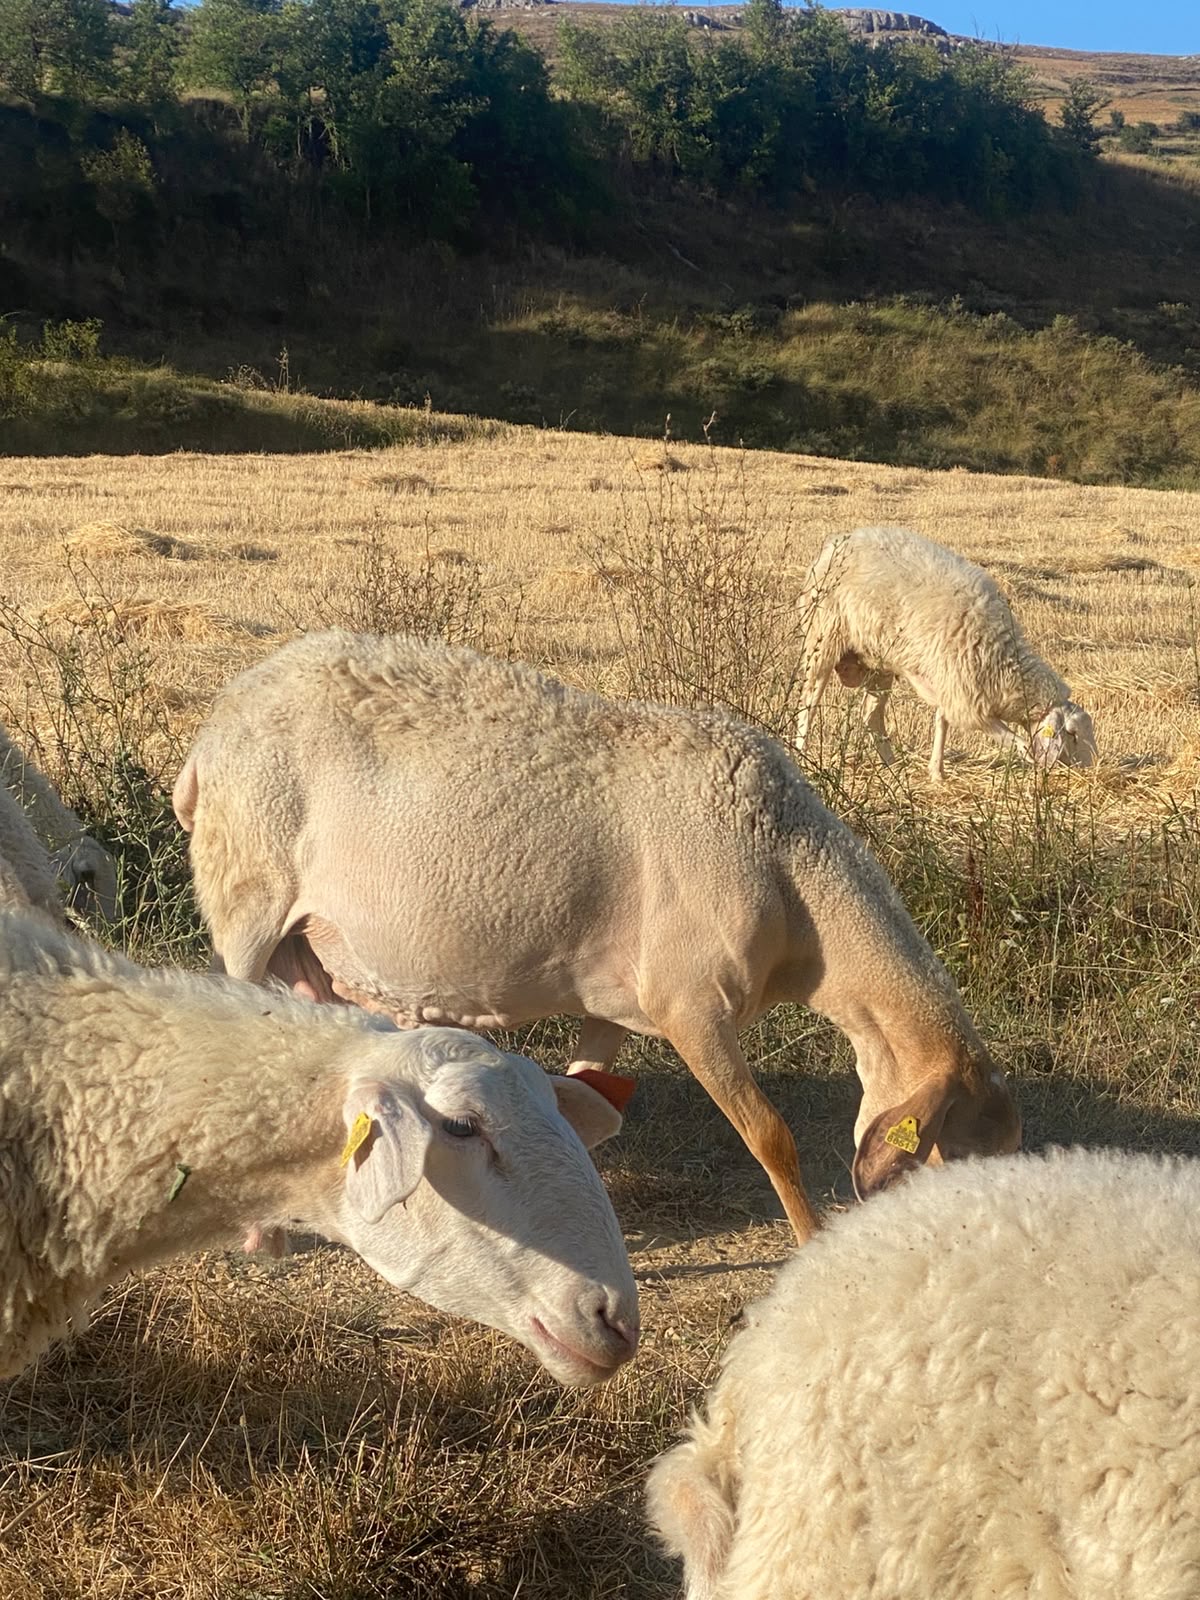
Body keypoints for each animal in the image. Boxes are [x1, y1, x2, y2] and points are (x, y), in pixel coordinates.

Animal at [172, 630, 1021, 1247]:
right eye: (958, 1157)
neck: (789, 869)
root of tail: (214, 729)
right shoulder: (691, 1006)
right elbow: (771, 1135)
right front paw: (812, 1238)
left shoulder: (613, 1004)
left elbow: (585, 1106)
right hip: (247, 893)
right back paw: (259, 1236)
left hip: (309, 944)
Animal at [794, 527, 1098, 781]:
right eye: (1072, 735)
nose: (1091, 771)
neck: (1006, 663)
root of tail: (837, 542)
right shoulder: (969, 702)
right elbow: (1017, 743)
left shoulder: (951, 681)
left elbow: (941, 721)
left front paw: (936, 773)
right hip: (824, 637)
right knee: (809, 703)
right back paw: (801, 753)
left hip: (879, 662)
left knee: (871, 718)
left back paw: (893, 767)